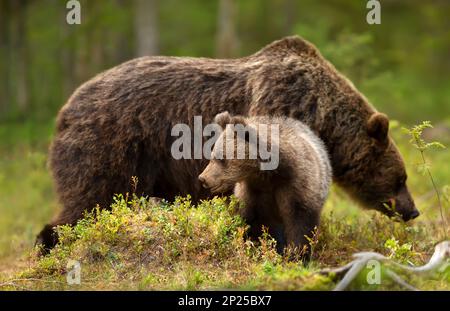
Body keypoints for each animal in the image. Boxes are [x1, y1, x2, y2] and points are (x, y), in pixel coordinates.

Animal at [199, 112, 332, 256]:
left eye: (221, 158)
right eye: (212, 155)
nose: (203, 178)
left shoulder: (296, 184)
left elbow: (300, 221)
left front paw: (296, 253)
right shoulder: (254, 191)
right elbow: (255, 221)